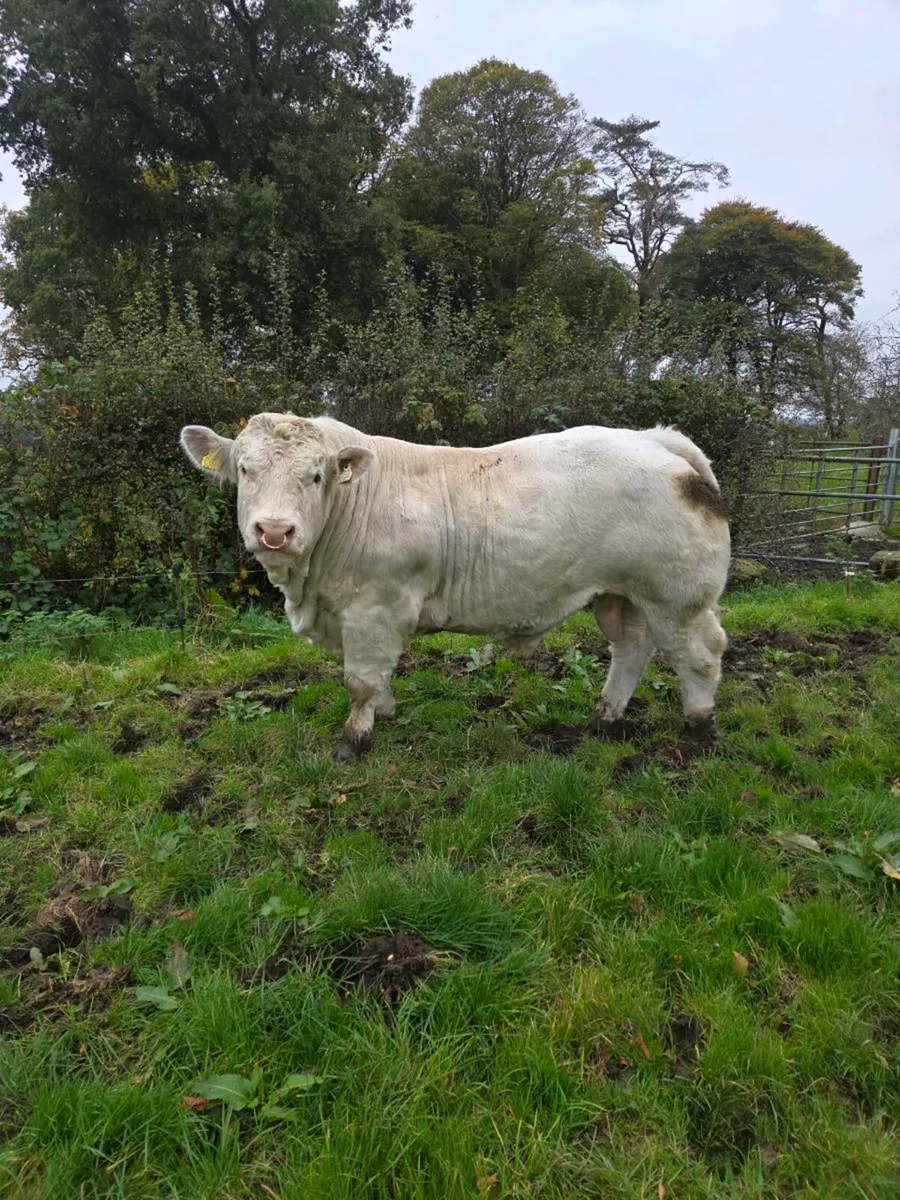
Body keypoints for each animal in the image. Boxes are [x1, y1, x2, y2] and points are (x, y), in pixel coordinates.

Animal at [181, 414, 730, 760]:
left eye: (317, 476)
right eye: (245, 470)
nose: (274, 531)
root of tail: (654, 438)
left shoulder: (375, 607)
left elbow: (359, 680)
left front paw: (354, 740)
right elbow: (376, 677)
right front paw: (385, 712)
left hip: (676, 596)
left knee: (700, 655)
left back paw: (698, 729)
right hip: (620, 593)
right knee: (632, 648)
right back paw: (604, 720)